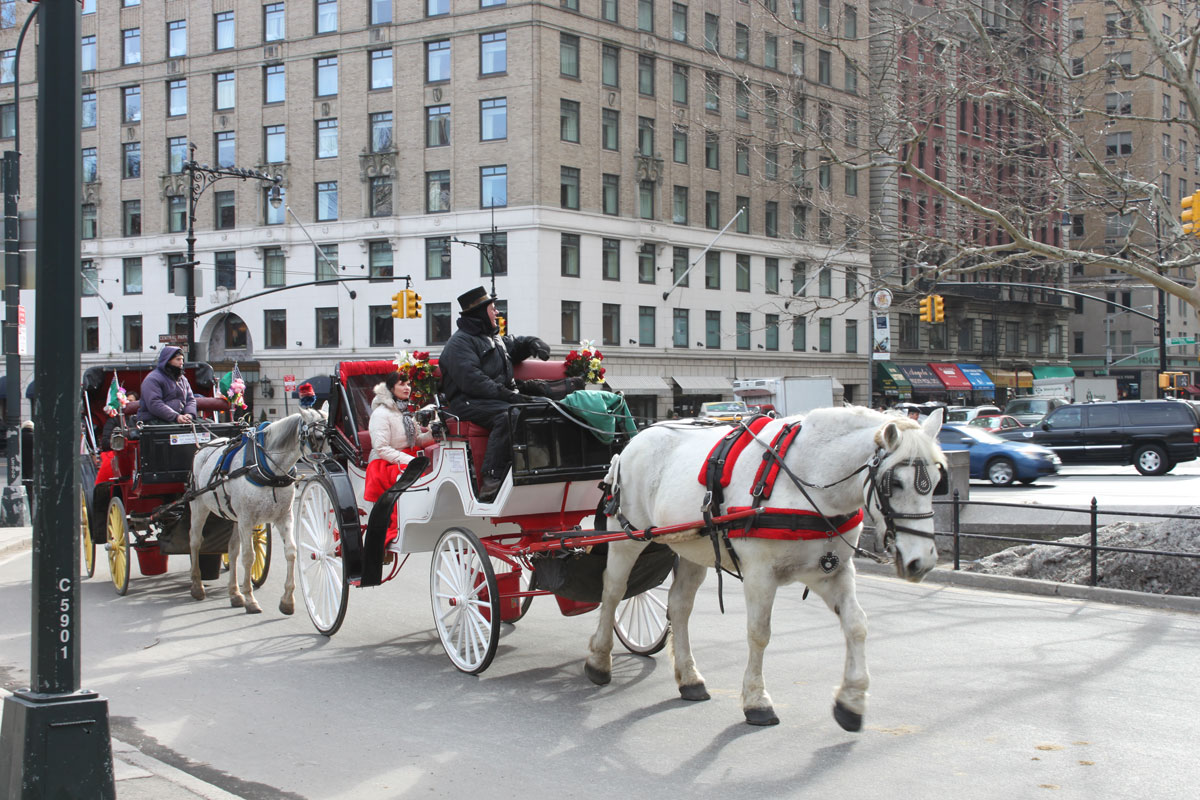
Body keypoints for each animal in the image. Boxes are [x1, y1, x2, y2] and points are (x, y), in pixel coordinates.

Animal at [187, 408, 327, 614]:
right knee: (196, 541)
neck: (268, 468)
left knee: (232, 549)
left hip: (234, 517)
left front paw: (287, 600)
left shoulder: (284, 517)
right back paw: (197, 586)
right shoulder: (246, 519)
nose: (330, 465)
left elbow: (291, 552)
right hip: (199, 506)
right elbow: (249, 556)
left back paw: (234, 593)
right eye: (318, 436)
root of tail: (204, 446)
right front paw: (250, 599)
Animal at [584, 406, 945, 730]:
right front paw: (757, 701)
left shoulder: (832, 570)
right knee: (613, 592)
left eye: (938, 479)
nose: (922, 561)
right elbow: (759, 634)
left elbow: (856, 625)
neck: (808, 479)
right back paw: (599, 661)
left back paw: (689, 678)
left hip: (691, 545)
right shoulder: (760, 574)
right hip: (627, 537)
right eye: (895, 483)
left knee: (679, 605)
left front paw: (852, 701)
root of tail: (634, 442)